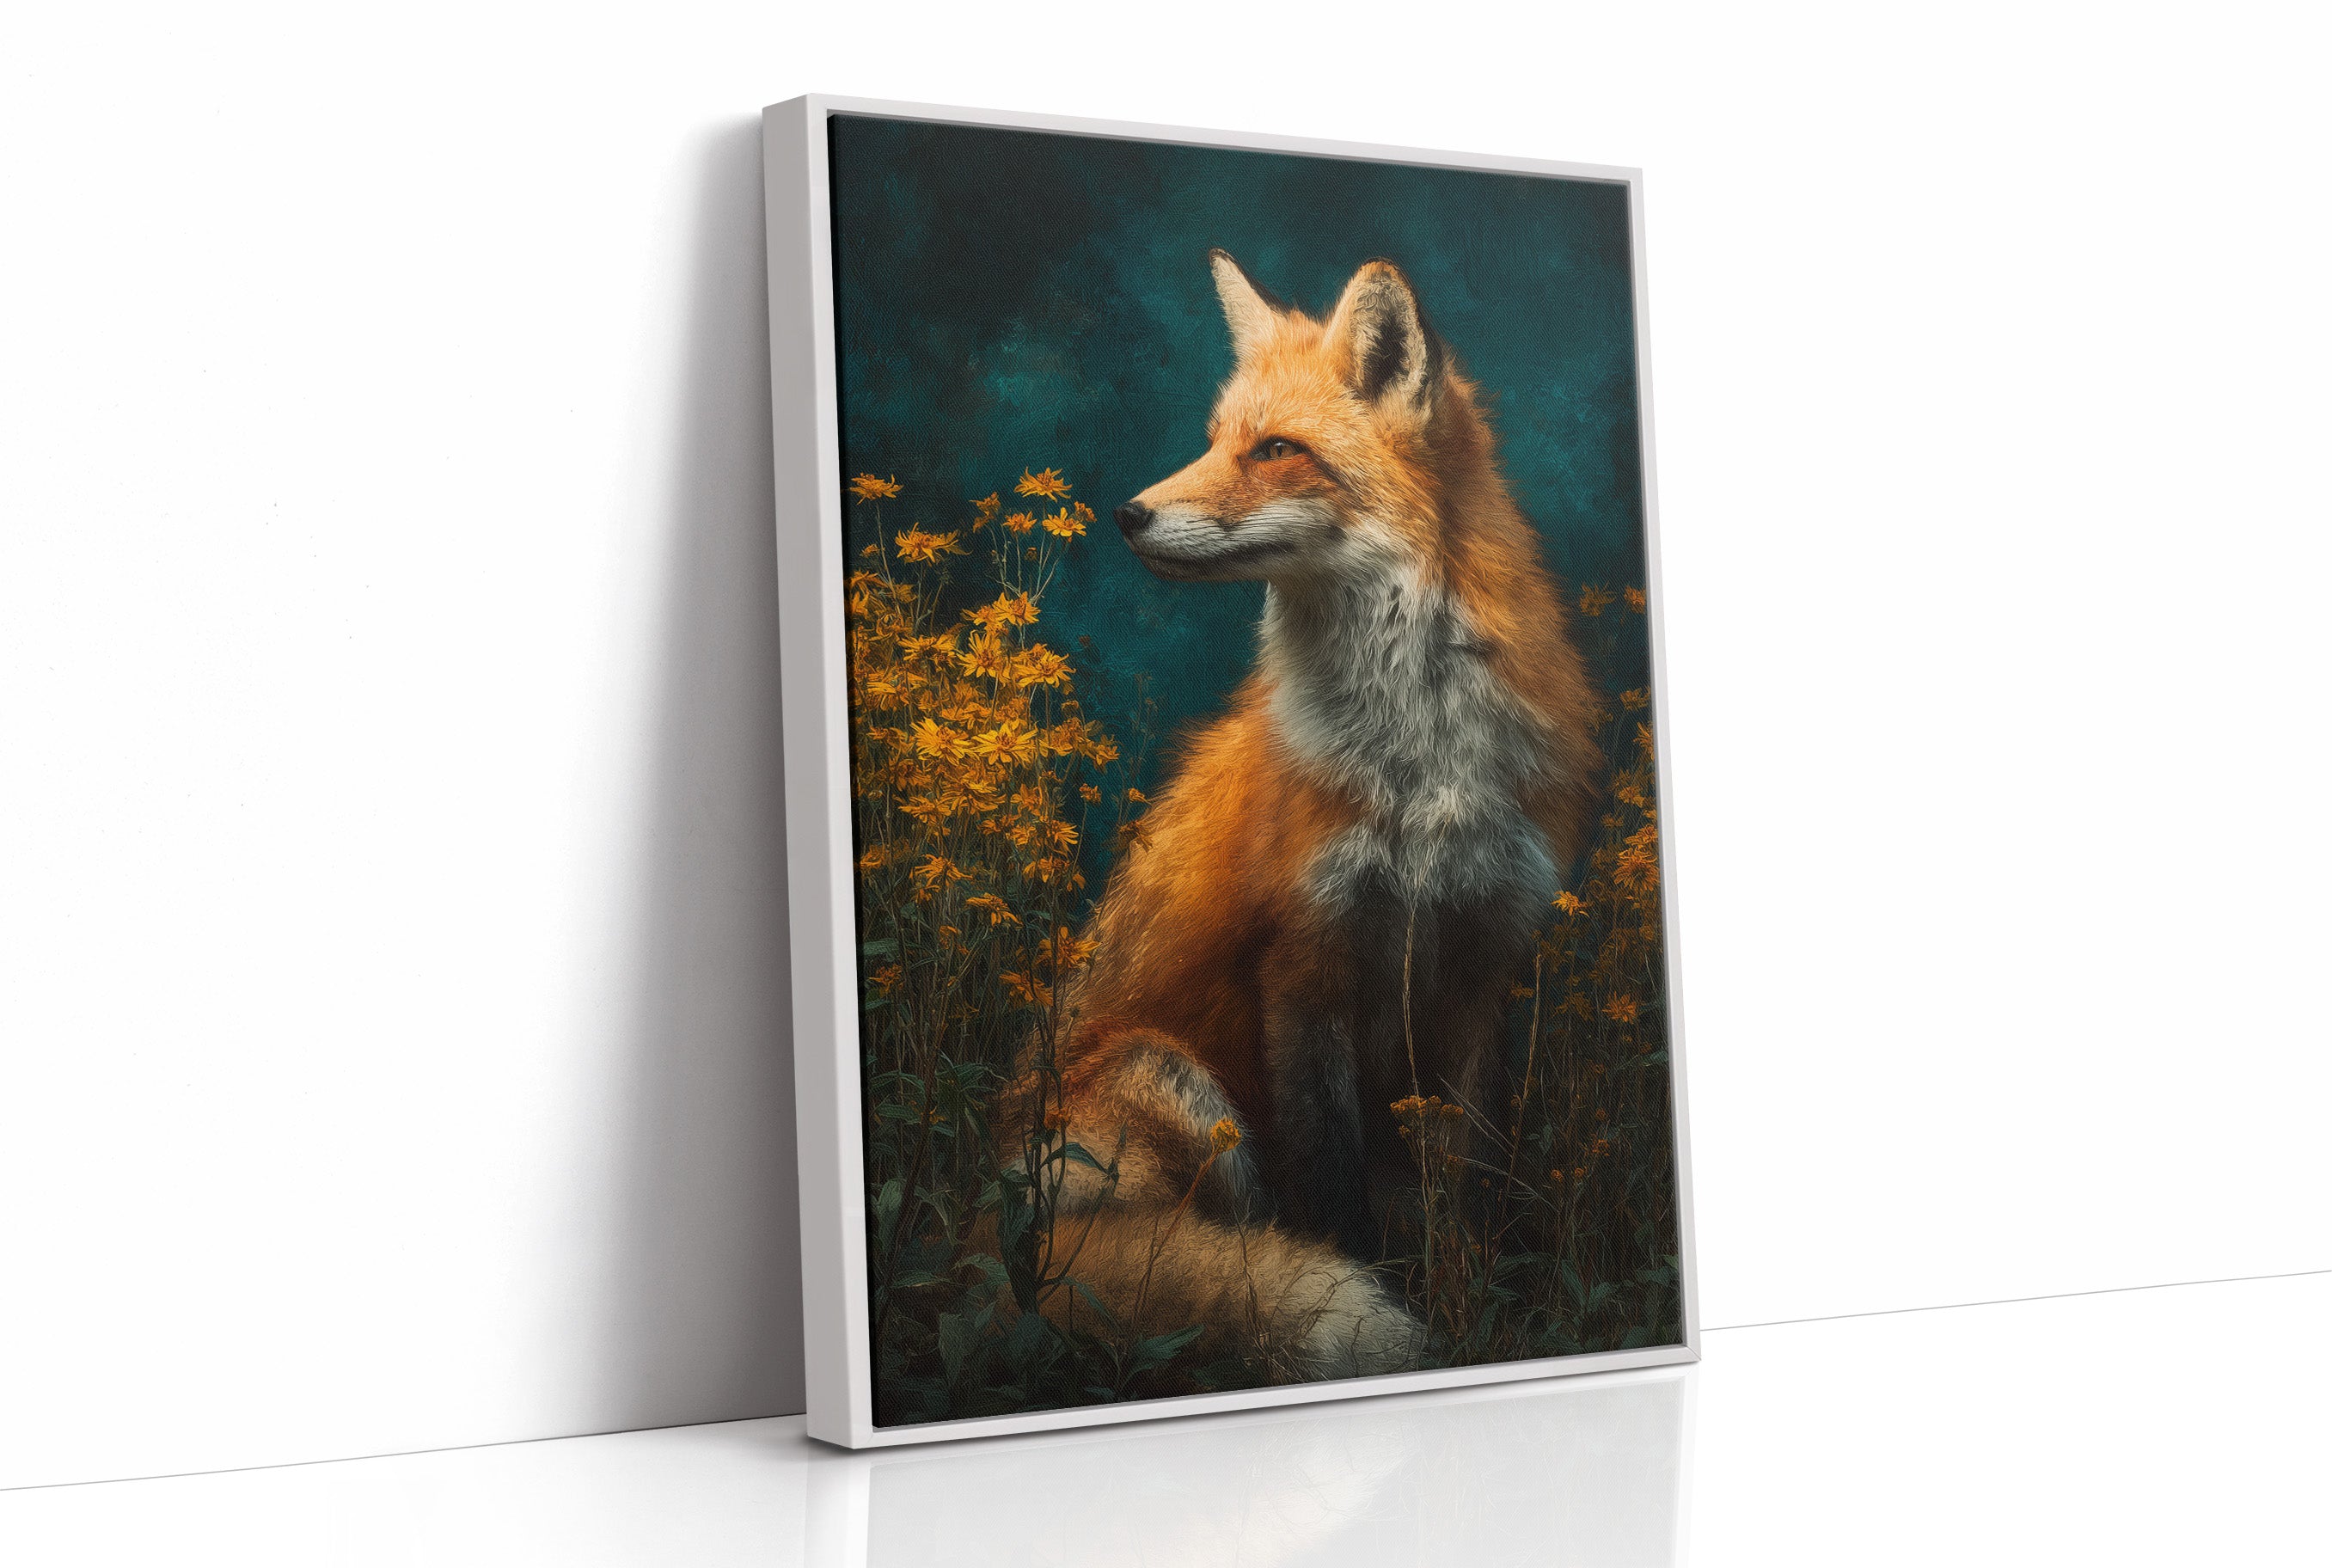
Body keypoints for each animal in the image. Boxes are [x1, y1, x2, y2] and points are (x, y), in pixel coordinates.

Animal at [1000, 250, 1603, 1381]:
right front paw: (1388, 1307)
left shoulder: (1481, 961)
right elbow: (1327, 1195)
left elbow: (1473, 1178)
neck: (1417, 767)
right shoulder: (1303, 958)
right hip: (1174, 1080)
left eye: (1276, 450)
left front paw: (1474, 1307)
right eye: (1213, 438)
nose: (1126, 513)